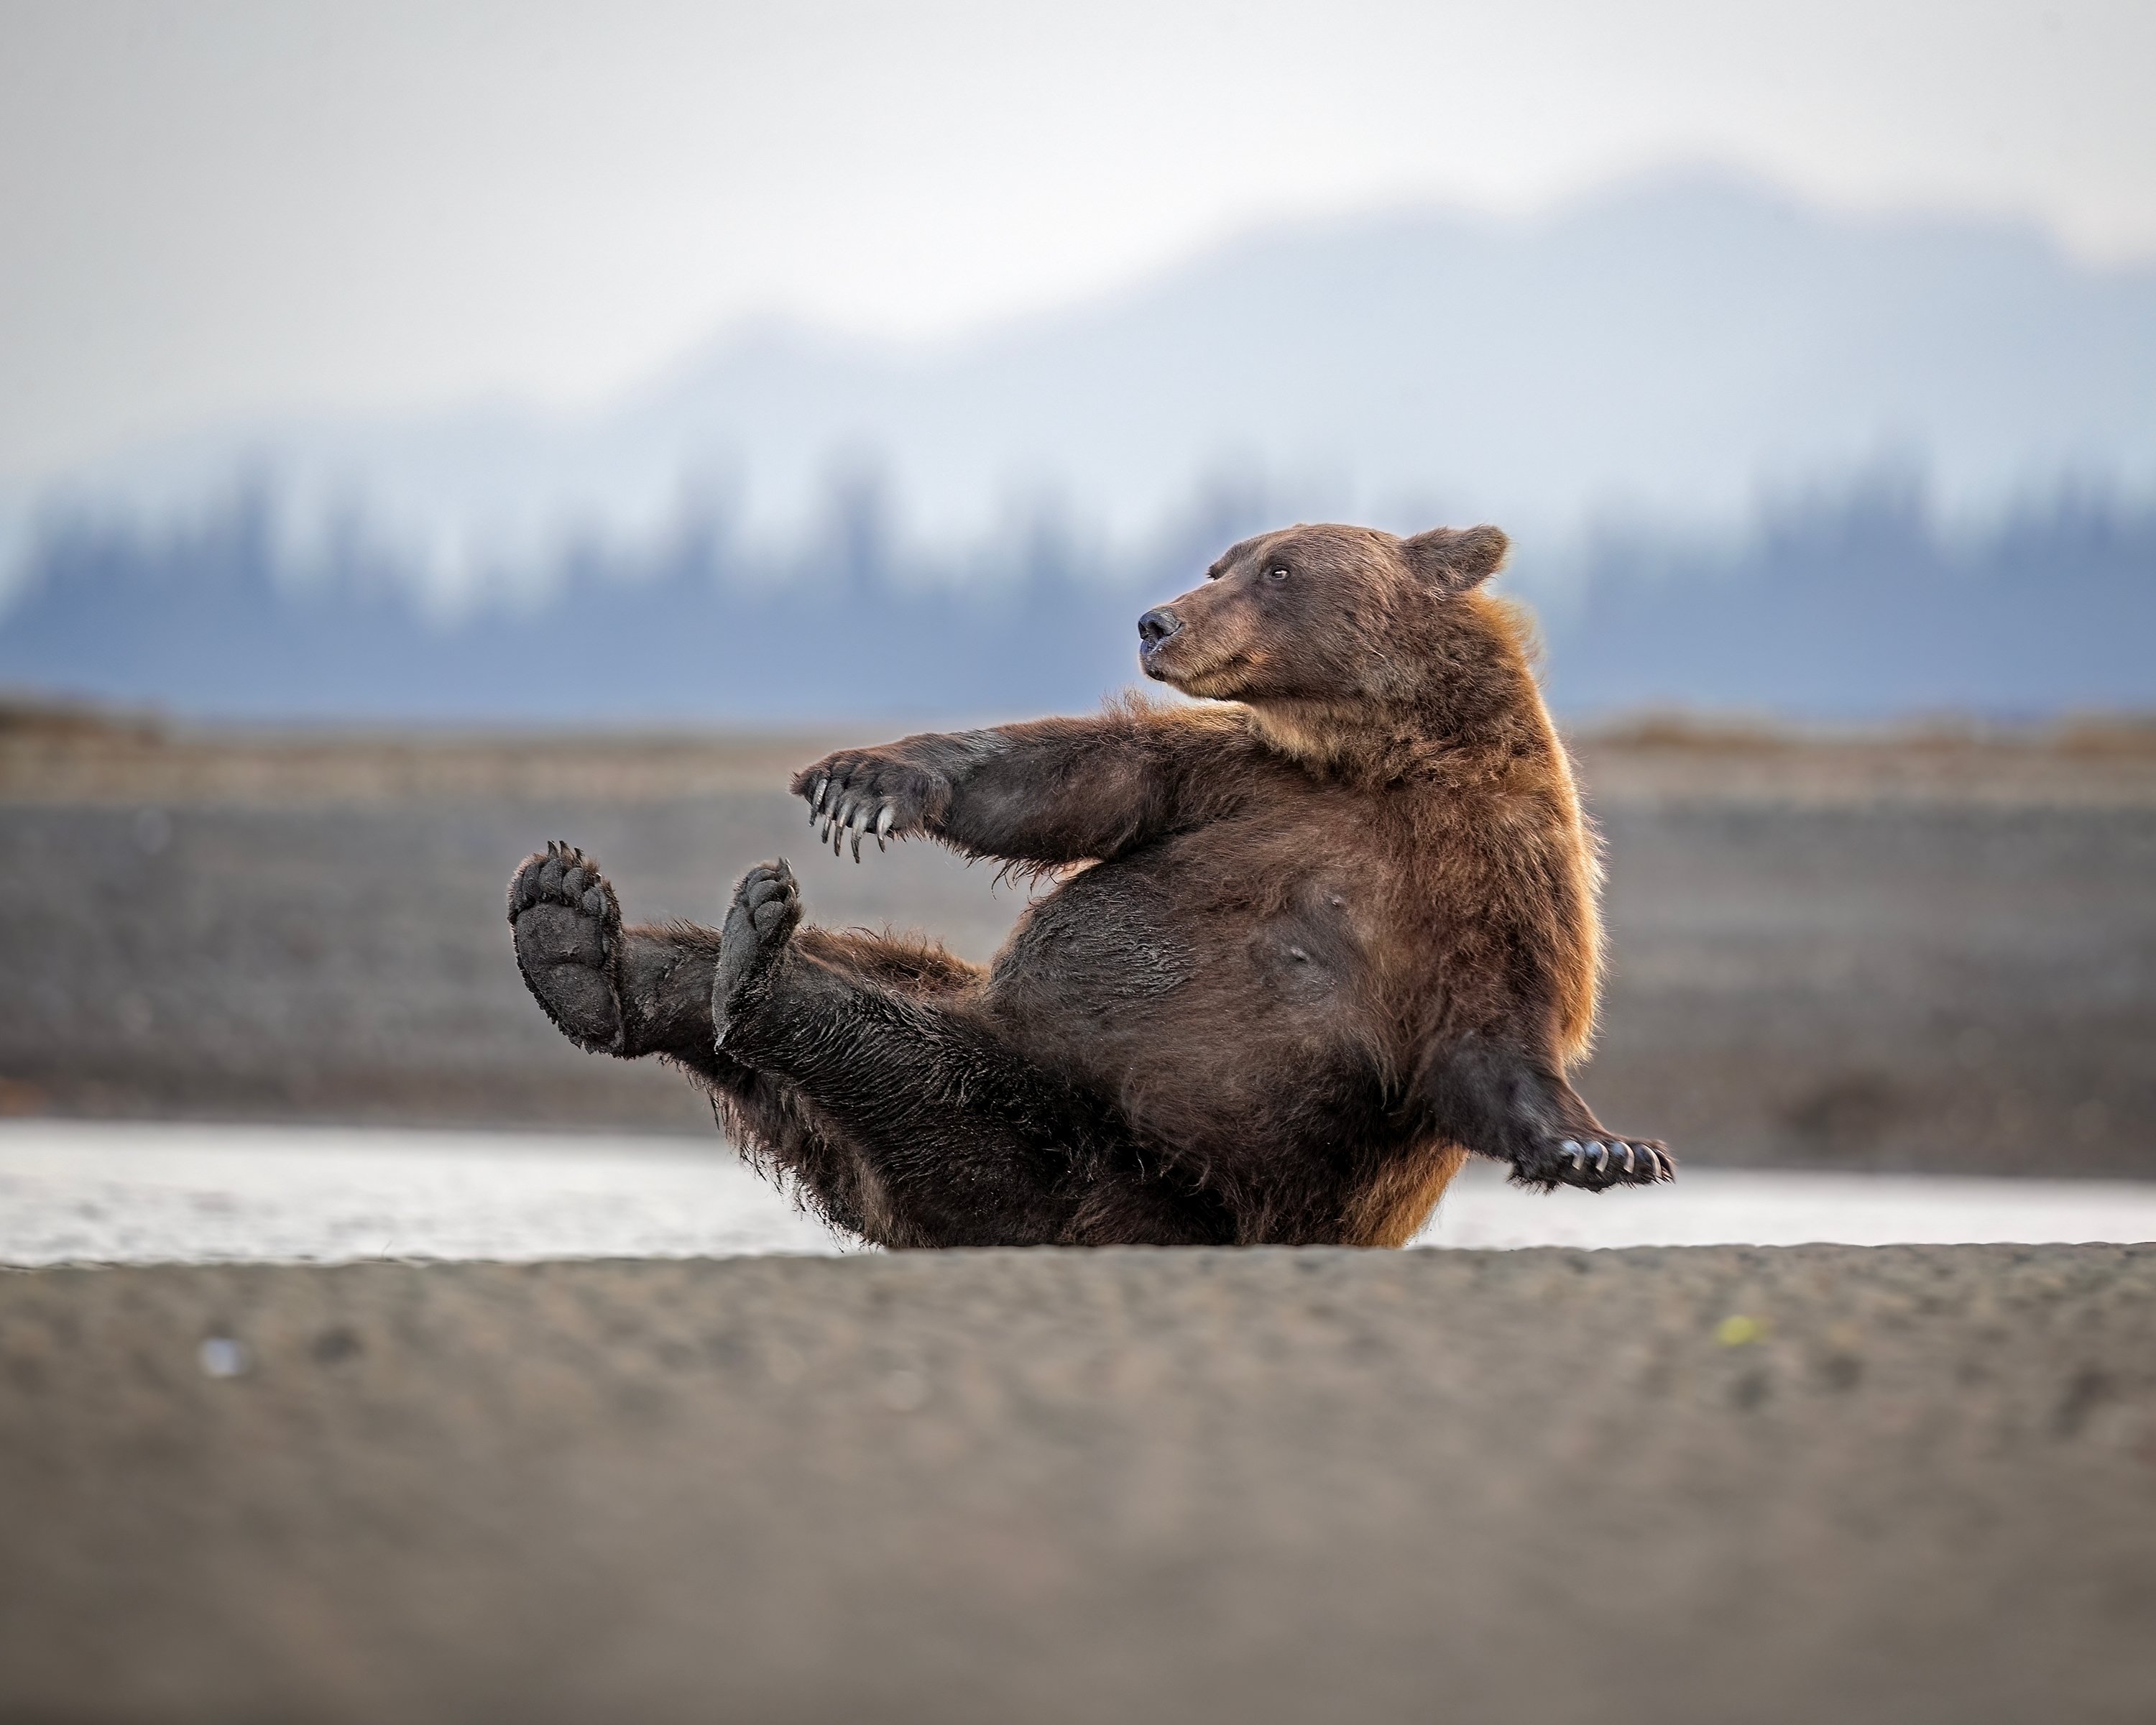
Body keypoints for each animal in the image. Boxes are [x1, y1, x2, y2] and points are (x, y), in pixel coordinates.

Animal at [508, 521, 1669, 1248]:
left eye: (1280, 568)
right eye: (1221, 559)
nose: (1158, 619)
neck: (1379, 756)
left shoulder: (1496, 872)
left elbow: (1493, 1038)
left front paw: (1602, 1147)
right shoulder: (1240, 783)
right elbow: (1072, 780)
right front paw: (866, 781)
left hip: (1088, 1158)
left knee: (901, 1065)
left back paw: (734, 968)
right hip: (1012, 1052)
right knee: (870, 982)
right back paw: (582, 936)